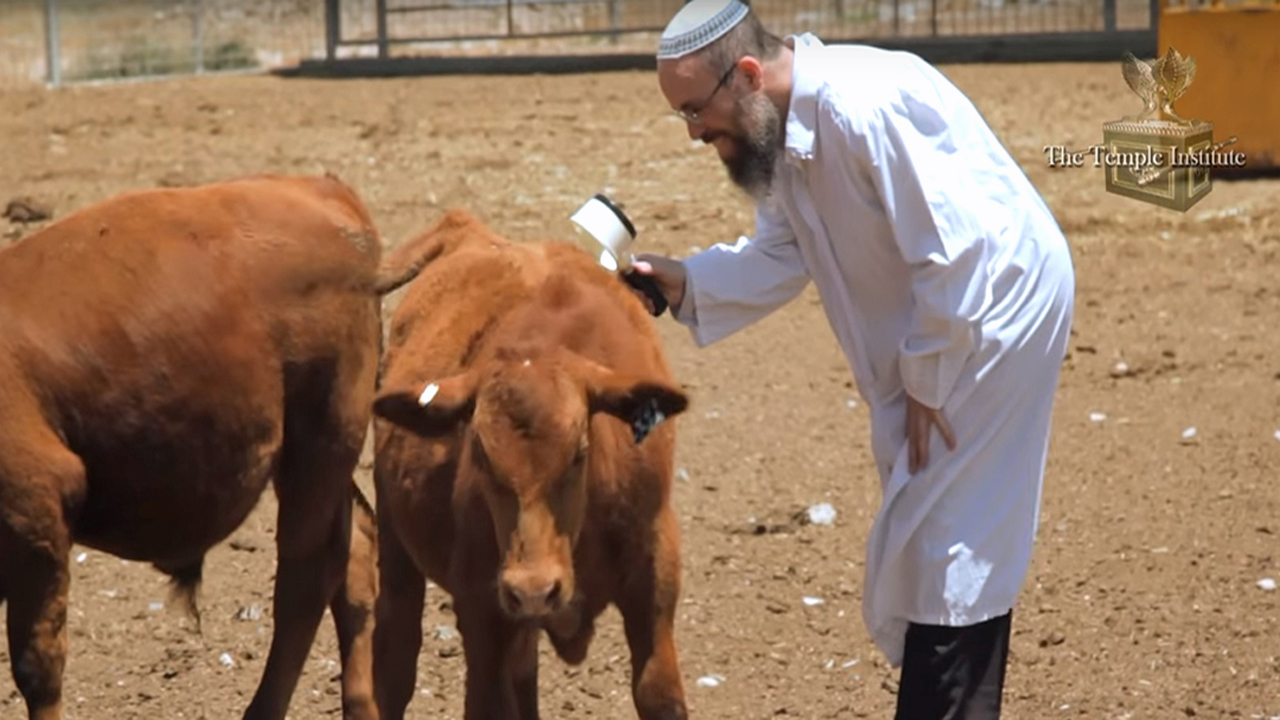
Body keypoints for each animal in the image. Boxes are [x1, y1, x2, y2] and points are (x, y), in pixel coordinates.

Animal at [0, 175, 435, 717]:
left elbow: (38, 666)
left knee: (305, 579)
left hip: (321, 444)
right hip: (323, 460)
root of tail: (324, 192)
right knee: (353, 552)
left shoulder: (34, 510)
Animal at [366, 208, 696, 717]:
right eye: (480, 455)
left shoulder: (655, 568)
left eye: (579, 451)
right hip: (397, 543)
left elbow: (658, 692)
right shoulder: (483, 606)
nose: (534, 589)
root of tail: (470, 229)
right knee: (396, 655)